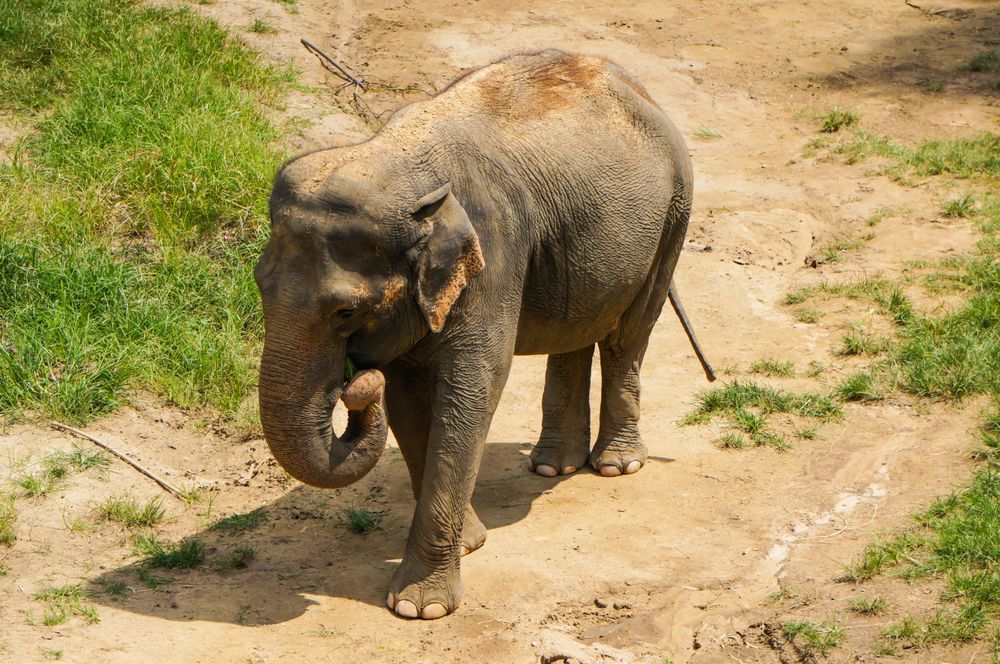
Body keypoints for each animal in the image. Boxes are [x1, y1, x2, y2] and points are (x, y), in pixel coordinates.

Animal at [254, 49, 715, 621]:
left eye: (345, 312)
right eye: (258, 284)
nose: (357, 383)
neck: (393, 160)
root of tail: (636, 85)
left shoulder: (494, 254)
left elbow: (475, 387)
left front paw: (420, 609)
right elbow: (408, 398)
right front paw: (471, 543)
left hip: (675, 211)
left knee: (627, 335)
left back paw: (615, 465)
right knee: (576, 330)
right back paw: (553, 466)